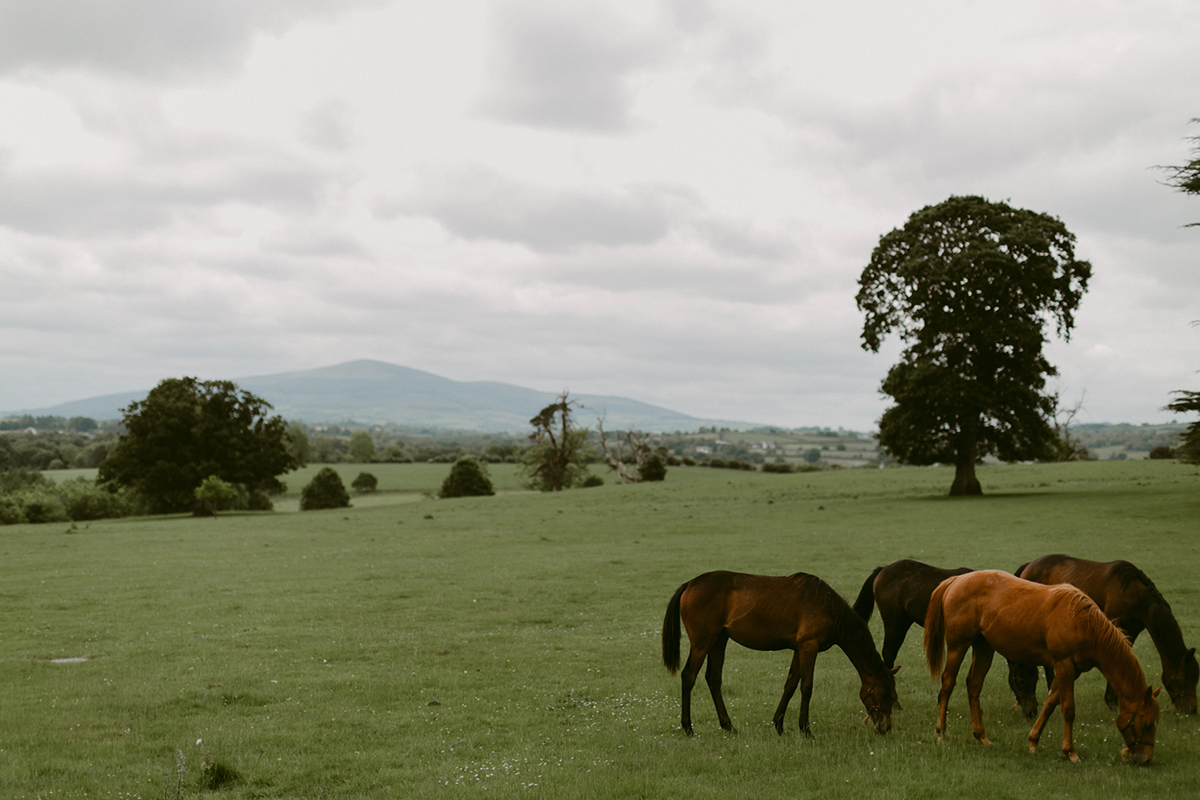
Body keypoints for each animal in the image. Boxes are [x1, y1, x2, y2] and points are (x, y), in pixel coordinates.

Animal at [662, 568, 897, 738]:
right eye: (884, 694)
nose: (886, 727)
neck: (827, 606)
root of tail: (690, 584)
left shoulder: (799, 648)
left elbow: (791, 684)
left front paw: (779, 725)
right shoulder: (809, 647)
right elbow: (806, 687)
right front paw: (806, 729)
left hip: (719, 641)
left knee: (713, 679)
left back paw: (729, 726)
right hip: (702, 642)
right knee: (688, 677)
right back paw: (688, 728)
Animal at [921, 573, 1156, 767]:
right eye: (1147, 723)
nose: (1146, 758)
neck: (1082, 622)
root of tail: (956, 580)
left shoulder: (1071, 671)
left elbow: (1051, 703)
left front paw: (1033, 741)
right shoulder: (1064, 665)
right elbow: (1068, 709)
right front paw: (1070, 752)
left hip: (984, 647)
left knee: (974, 685)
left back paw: (981, 736)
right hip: (958, 646)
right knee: (948, 684)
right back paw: (941, 732)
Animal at [1008, 554, 1195, 714]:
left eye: (1195, 679)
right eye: (1183, 680)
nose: (1192, 710)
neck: (1133, 592)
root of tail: (1029, 565)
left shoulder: (1132, 631)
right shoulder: (1114, 625)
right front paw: (1112, 700)